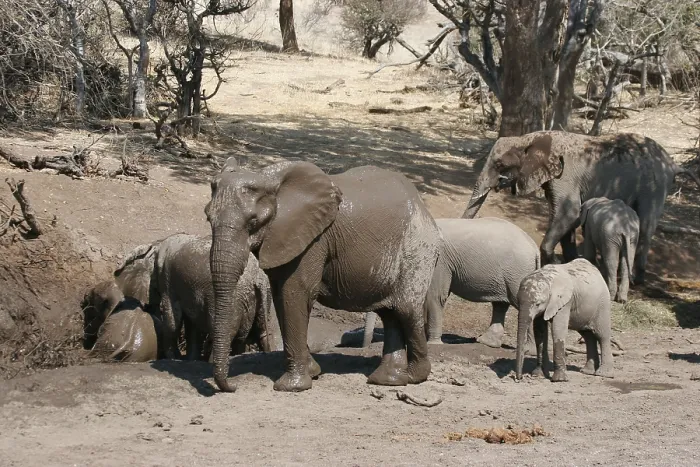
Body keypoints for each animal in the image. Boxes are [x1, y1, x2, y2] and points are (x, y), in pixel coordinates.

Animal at [116, 234, 279, 361]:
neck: (157, 244)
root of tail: (258, 277)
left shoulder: (167, 278)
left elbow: (173, 320)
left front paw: (175, 359)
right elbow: (191, 324)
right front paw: (190, 360)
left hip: (233, 297)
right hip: (256, 296)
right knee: (256, 333)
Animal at [206, 158, 440, 393]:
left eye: (253, 221)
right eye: (208, 218)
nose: (233, 387)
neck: (269, 179)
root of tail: (423, 206)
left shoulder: (313, 239)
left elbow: (296, 293)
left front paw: (291, 386)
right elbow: (282, 296)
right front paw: (313, 372)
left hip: (418, 246)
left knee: (406, 309)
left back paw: (414, 375)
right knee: (390, 313)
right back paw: (387, 380)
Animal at [362, 217, 539, 351]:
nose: (364, 347)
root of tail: (535, 247)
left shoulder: (439, 261)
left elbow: (435, 296)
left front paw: (433, 344)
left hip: (518, 273)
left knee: (523, 305)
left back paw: (526, 350)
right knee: (500, 305)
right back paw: (486, 342)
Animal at [463, 131, 700, 284]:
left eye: (499, 165)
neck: (529, 139)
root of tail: (673, 163)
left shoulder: (565, 175)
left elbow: (569, 212)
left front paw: (553, 262)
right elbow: (565, 217)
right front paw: (569, 263)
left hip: (654, 185)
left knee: (647, 224)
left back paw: (636, 280)